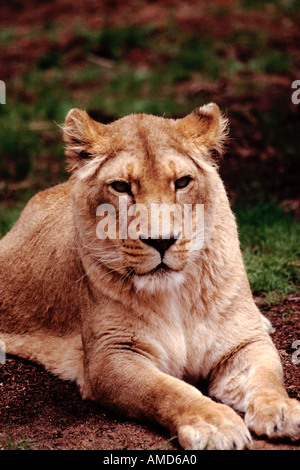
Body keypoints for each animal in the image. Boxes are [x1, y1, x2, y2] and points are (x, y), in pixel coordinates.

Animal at [0, 104, 300, 450]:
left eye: (182, 182)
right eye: (120, 186)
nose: (161, 241)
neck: (176, 294)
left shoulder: (242, 342)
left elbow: (267, 376)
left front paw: (282, 410)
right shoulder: (112, 355)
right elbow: (168, 391)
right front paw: (214, 424)